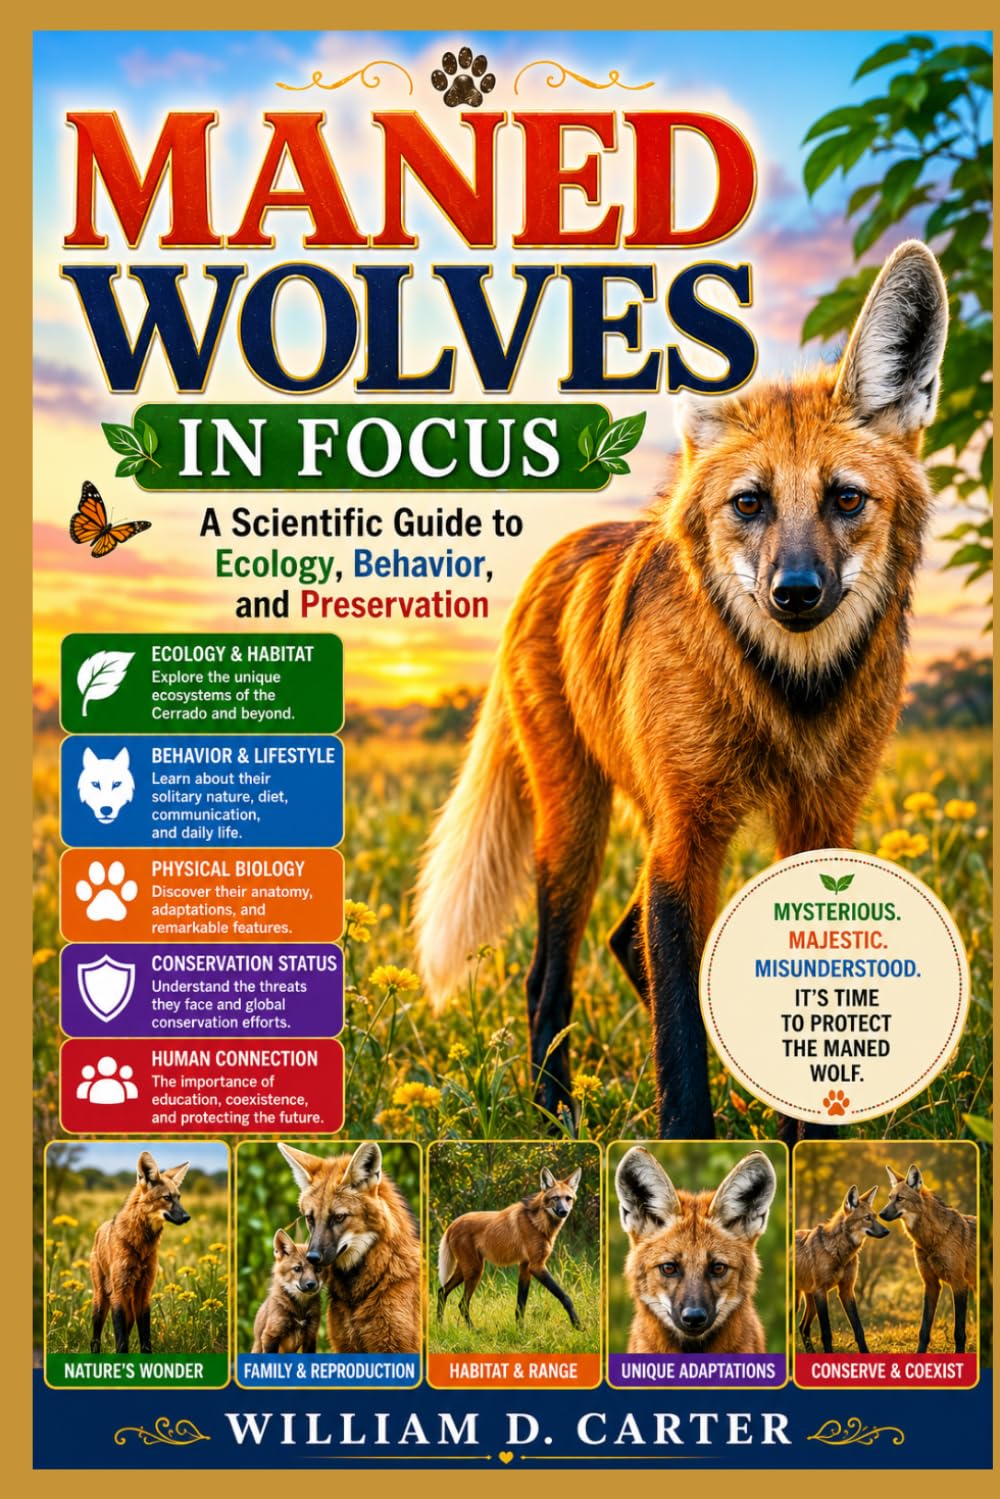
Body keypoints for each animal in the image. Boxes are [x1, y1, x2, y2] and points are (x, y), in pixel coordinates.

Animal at [89, 1150, 190, 1354]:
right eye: (167, 1198)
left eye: (179, 1197)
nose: (187, 1216)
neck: (141, 1246)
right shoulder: (119, 1292)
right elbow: (121, 1344)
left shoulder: (144, 1293)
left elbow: (145, 1341)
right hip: (102, 1299)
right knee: (95, 1339)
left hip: (130, 1306)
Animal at [413, 241, 948, 1141]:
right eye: (750, 503)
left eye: (846, 498)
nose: (795, 592)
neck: (787, 699)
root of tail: (557, 550)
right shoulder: (688, 830)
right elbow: (679, 1050)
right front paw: (693, 1141)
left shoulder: (818, 822)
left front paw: (807, 1147)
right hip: (578, 822)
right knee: (550, 975)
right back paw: (557, 1117)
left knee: (629, 942)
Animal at [437, 1165, 583, 1328]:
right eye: (556, 1198)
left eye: (568, 1198)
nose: (564, 1211)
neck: (538, 1223)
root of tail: (452, 1224)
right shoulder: (536, 1266)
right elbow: (565, 1297)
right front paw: (578, 1325)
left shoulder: (525, 1266)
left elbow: (521, 1304)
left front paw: (521, 1330)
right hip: (475, 1270)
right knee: (462, 1303)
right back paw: (473, 1330)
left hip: (466, 1269)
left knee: (442, 1291)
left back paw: (439, 1326)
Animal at [795, 1184, 889, 1353]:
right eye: (867, 1218)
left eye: (875, 1217)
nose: (887, 1231)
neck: (840, 1254)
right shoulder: (821, 1291)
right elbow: (826, 1333)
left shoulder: (846, 1290)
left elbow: (859, 1330)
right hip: (799, 1303)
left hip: (810, 1303)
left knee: (803, 1327)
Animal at [879, 1163, 977, 1353]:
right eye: (889, 1198)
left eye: (900, 1199)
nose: (880, 1213)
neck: (931, 1241)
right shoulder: (931, 1284)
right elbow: (923, 1330)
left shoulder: (959, 1283)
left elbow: (959, 1332)